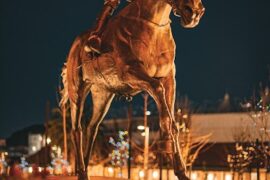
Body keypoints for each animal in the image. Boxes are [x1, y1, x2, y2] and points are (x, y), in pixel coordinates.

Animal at [60, 0, 205, 179]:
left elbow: (172, 121)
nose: (195, 12)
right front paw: (165, 141)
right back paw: (81, 171)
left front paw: (181, 171)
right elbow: (158, 90)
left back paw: (85, 170)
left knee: (91, 128)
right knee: (76, 130)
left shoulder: (169, 78)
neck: (154, 27)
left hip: (102, 96)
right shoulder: (131, 73)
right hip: (77, 91)